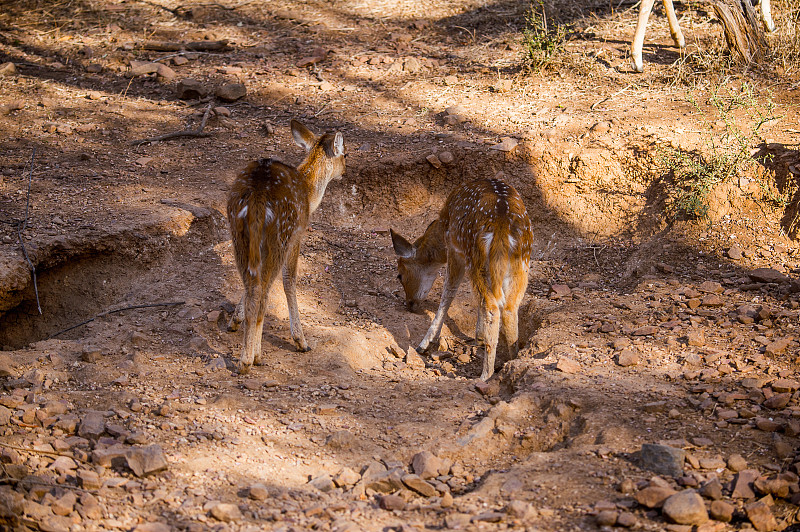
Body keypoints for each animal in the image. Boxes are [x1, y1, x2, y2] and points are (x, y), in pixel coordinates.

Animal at [228, 119, 346, 374]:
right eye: (346, 153)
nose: (346, 170)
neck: (310, 194)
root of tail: (258, 196)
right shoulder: (297, 234)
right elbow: (290, 281)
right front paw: (301, 340)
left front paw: (234, 320)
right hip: (280, 234)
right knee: (263, 291)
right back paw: (251, 359)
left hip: (238, 233)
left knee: (252, 284)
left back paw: (247, 353)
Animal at [390, 179, 536, 382]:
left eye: (400, 275)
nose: (409, 304)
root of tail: (502, 227)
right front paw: (479, 337)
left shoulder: (454, 248)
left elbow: (448, 293)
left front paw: (423, 344)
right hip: (521, 264)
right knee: (508, 307)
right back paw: (511, 361)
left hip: (476, 258)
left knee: (492, 306)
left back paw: (485, 375)